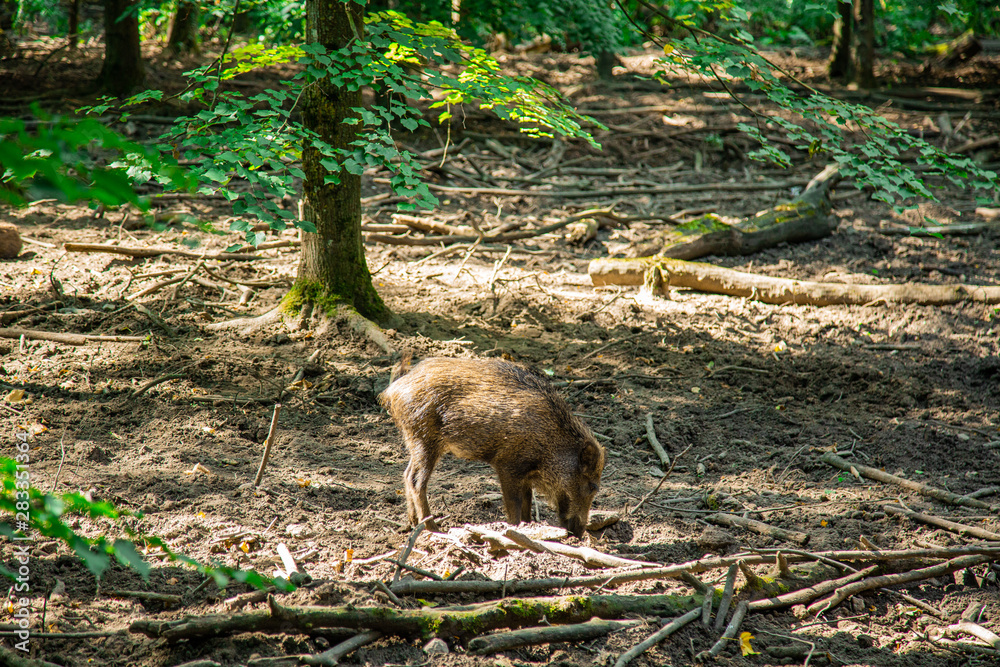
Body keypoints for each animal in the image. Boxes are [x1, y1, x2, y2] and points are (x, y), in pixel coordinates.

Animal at [378, 354, 605, 538]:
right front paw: (516, 529)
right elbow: (515, 504)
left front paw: (529, 526)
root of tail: (391, 390)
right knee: (416, 480)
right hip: (424, 439)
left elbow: (527, 502)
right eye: (592, 486)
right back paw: (433, 528)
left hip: (415, 440)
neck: (551, 443)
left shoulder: (525, 474)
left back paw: (413, 524)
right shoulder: (507, 465)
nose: (578, 534)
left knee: (407, 474)